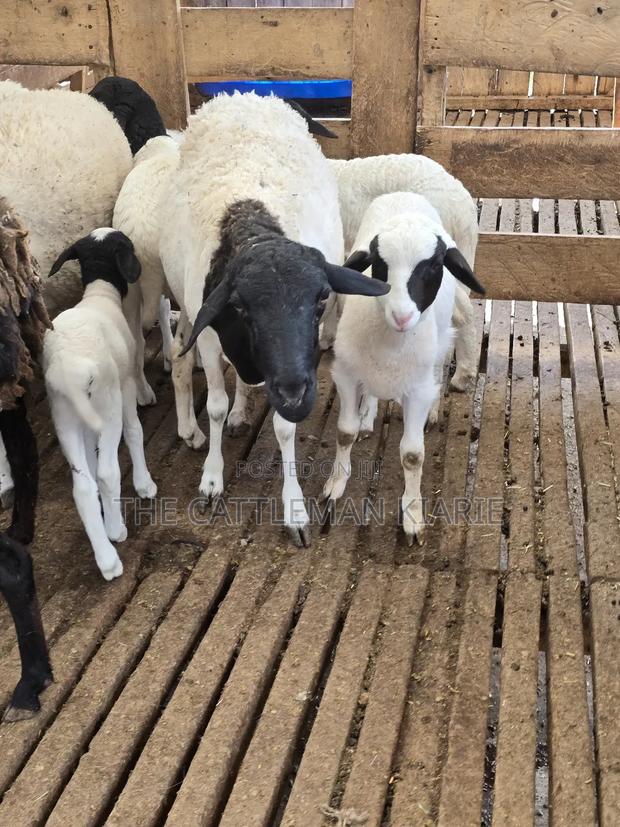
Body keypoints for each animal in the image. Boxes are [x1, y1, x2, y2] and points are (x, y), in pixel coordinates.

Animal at [42, 229, 157, 581]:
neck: (100, 293)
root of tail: (70, 369)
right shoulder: (125, 385)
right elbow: (134, 432)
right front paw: (144, 484)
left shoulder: (84, 418)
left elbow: (91, 464)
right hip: (106, 405)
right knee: (108, 472)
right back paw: (116, 532)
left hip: (64, 414)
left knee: (82, 487)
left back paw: (105, 556)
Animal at [160, 92, 389, 546]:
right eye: (241, 307)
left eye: (321, 298)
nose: (295, 392)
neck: (254, 232)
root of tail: (247, 95)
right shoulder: (209, 335)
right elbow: (213, 406)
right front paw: (211, 479)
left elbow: (284, 429)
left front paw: (295, 508)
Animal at [322, 192, 484, 545]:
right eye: (378, 264)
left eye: (434, 266)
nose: (402, 316)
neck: (390, 342)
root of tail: (406, 195)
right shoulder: (346, 374)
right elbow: (344, 432)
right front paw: (335, 485)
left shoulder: (417, 390)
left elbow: (412, 455)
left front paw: (411, 515)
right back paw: (368, 415)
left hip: (439, 345)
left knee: (439, 367)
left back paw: (433, 412)